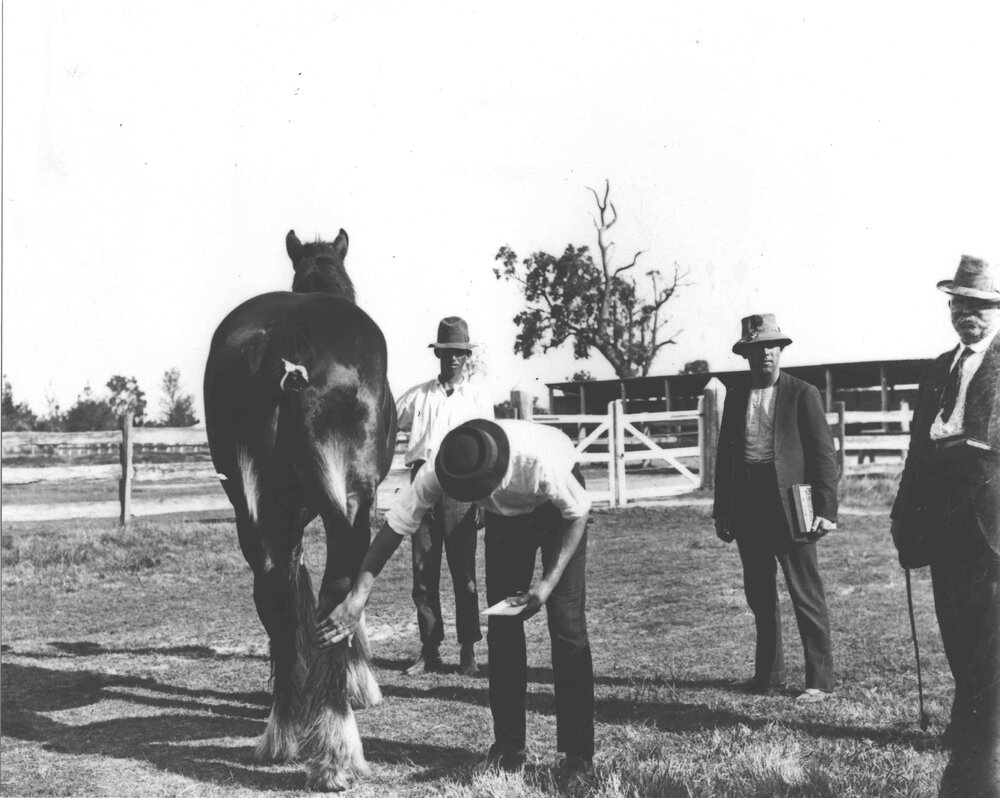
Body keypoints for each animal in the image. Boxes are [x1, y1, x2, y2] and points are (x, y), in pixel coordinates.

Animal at [204, 228, 396, 791]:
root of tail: (281, 345)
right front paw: (360, 685)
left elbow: (296, 592)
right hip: (347, 503)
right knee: (339, 590)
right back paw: (336, 751)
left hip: (254, 515)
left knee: (273, 590)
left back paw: (283, 733)